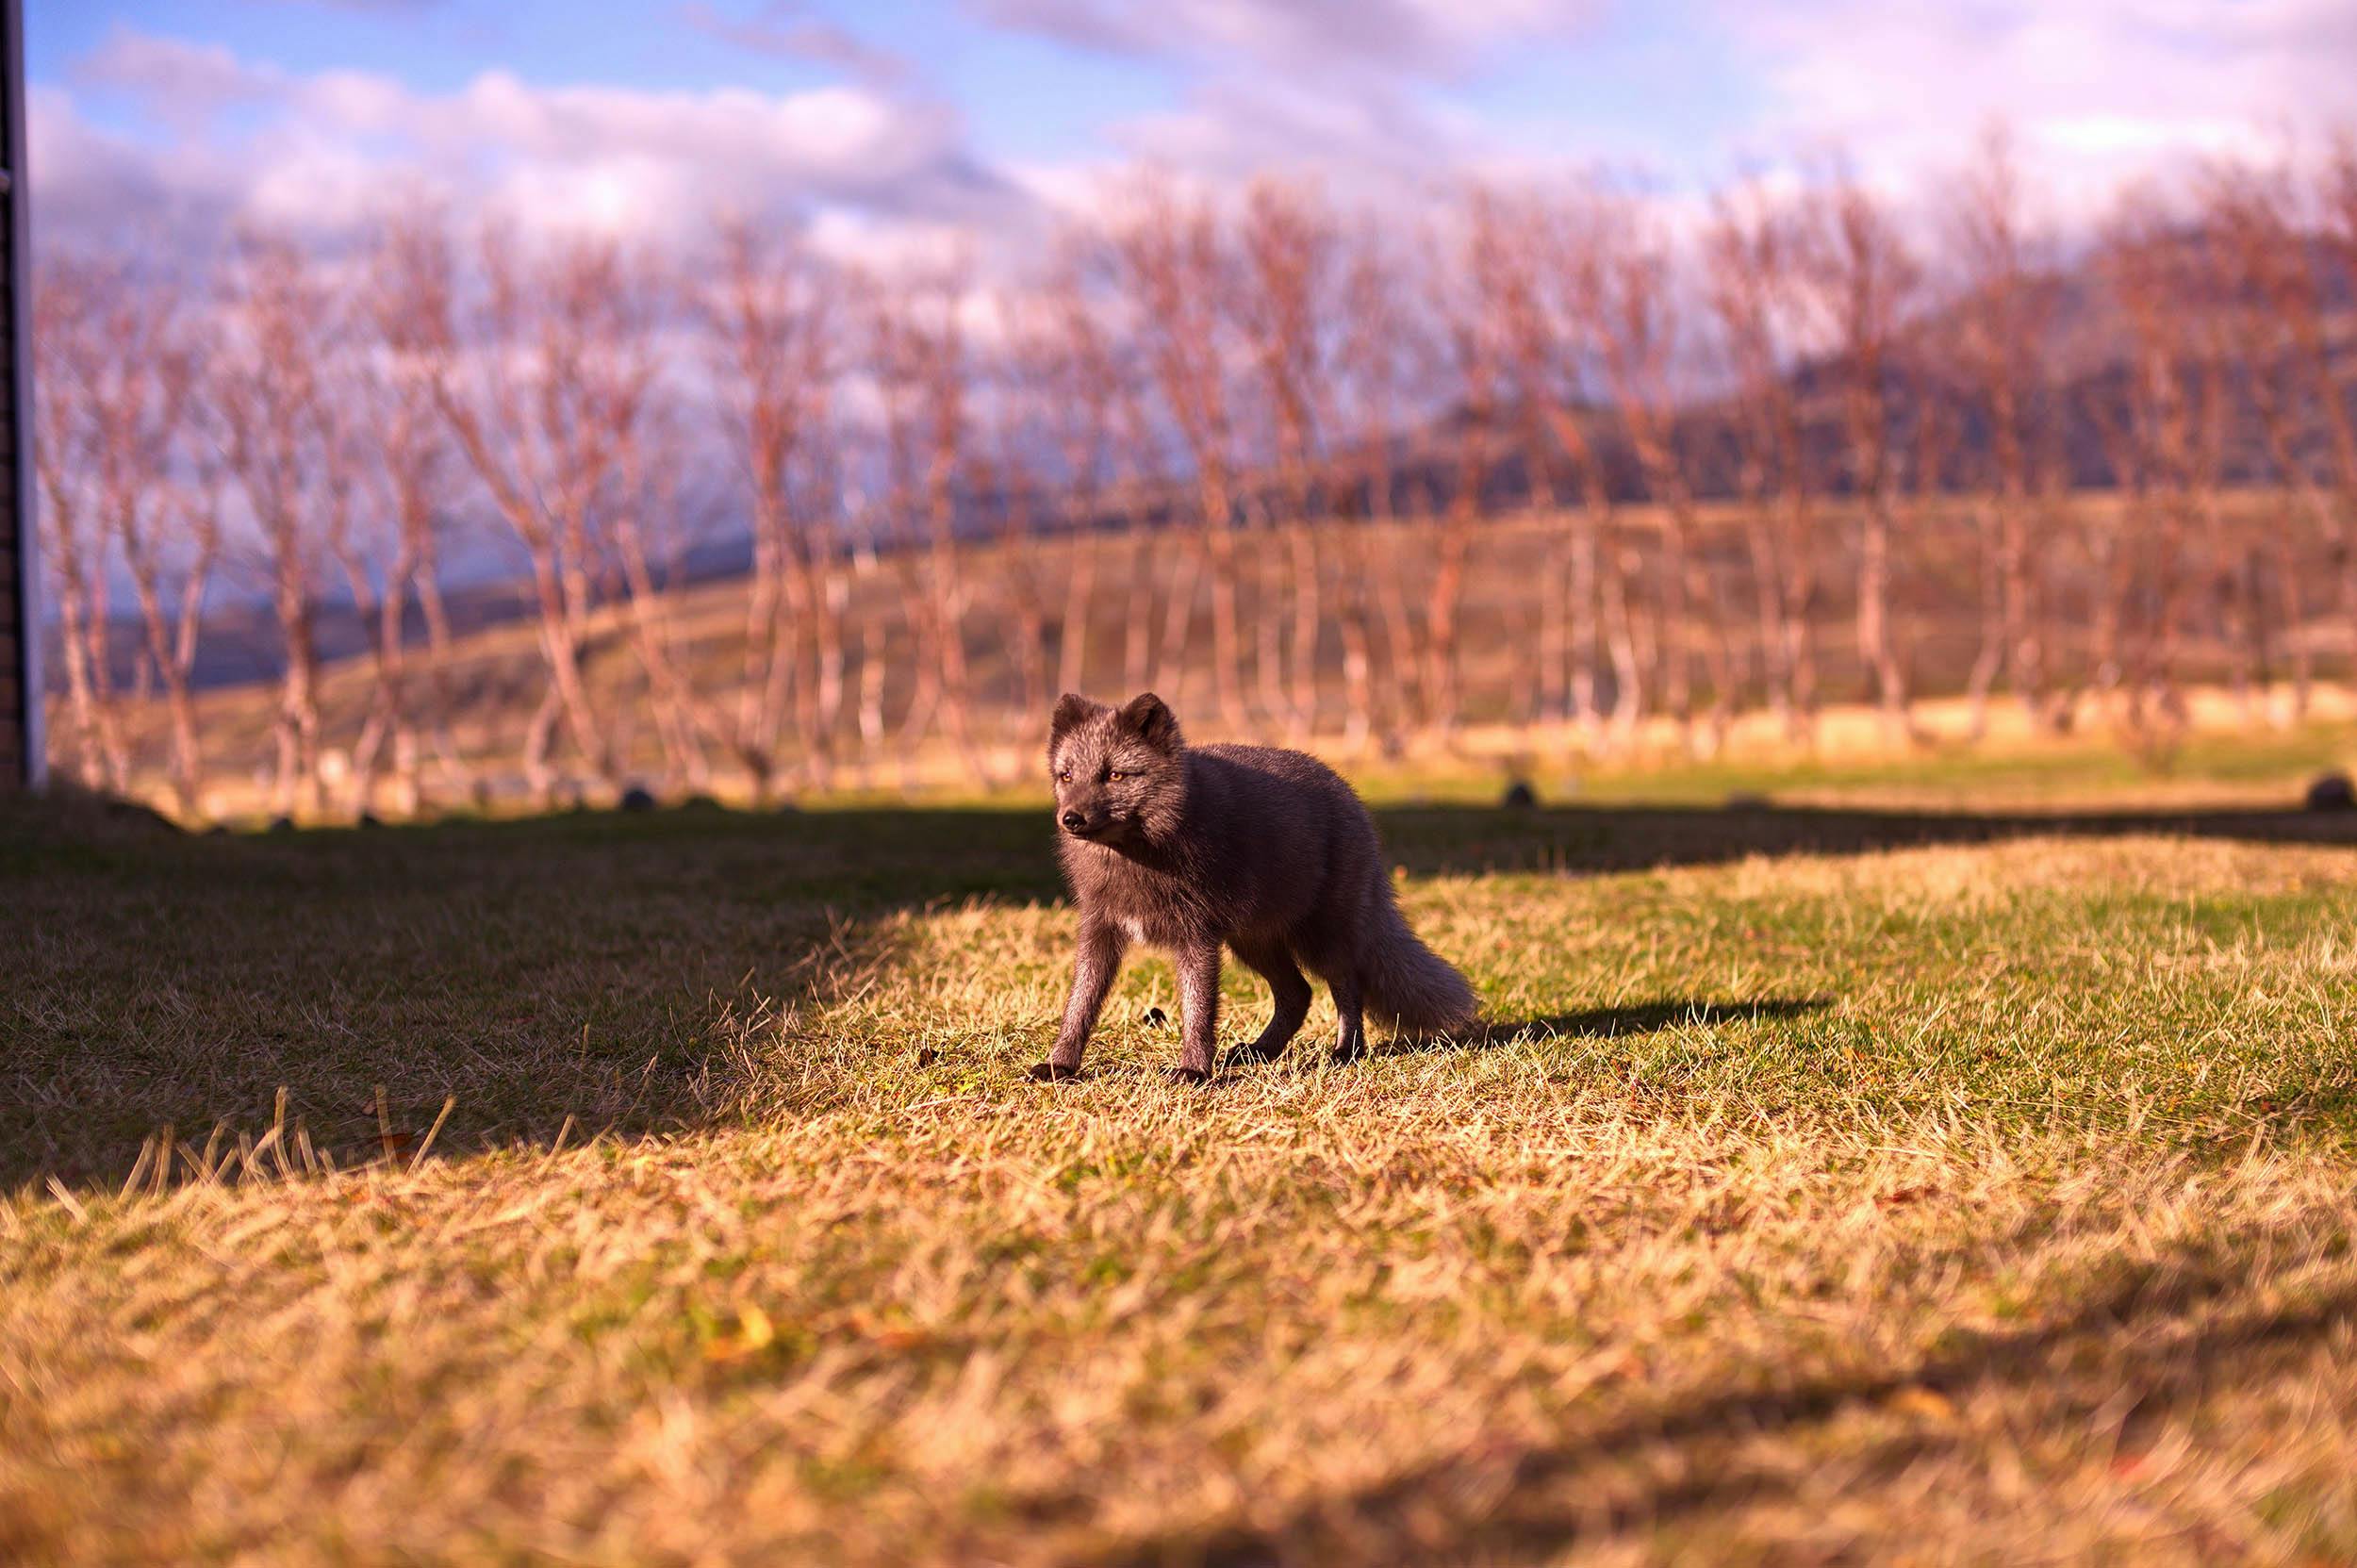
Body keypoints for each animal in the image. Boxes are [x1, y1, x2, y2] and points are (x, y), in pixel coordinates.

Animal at [1032, 693, 1471, 1084]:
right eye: (1066, 776)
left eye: (1114, 775)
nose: (1070, 818)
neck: (1137, 860)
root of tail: (1349, 796)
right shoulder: (1100, 930)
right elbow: (1080, 1004)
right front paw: (1060, 1066)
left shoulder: (1198, 936)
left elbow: (1198, 1010)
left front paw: (1194, 1071)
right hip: (1253, 942)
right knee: (1298, 994)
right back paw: (1259, 1052)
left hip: (1320, 938)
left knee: (1348, 983)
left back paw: (1347, 1051)